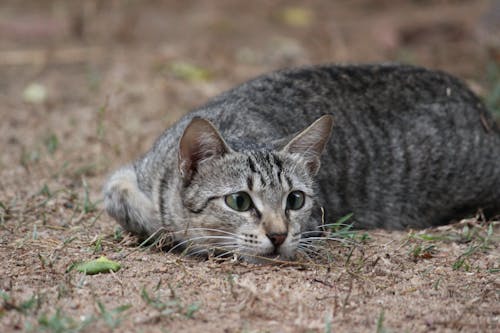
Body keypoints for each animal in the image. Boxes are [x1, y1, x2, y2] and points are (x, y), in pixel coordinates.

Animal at [102, 63, 500, 262]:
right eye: (239, 201)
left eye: (295, 200)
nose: (278, 235)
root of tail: (478, 105)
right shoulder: (128, 174)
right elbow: (127, 201)